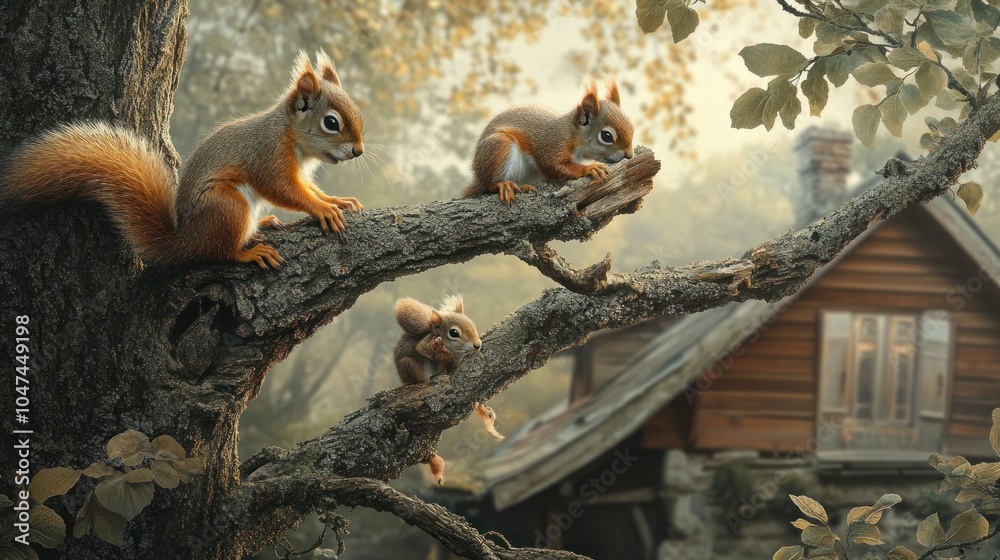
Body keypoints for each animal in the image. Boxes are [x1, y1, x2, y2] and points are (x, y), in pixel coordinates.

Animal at [0, 50, 364, 269]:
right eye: (331, 123)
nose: (358, 151)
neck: (292, 137)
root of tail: (185, 242)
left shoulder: (298, 171)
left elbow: (307, 189)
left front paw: (336, 201)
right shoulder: (267, 157)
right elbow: (284, 191)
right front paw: (323, 210)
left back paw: (263, 224)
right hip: (227, 206)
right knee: (219, 252)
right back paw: (249, 252)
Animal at [462, 75, 634, 204]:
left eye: (632, 128)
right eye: (607, 136)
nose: (630, 155)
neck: (571, 134)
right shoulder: (552, 144)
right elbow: (553, 165)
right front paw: (591, 168)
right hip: (498, 148)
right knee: (487, 185)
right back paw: (503, 185)